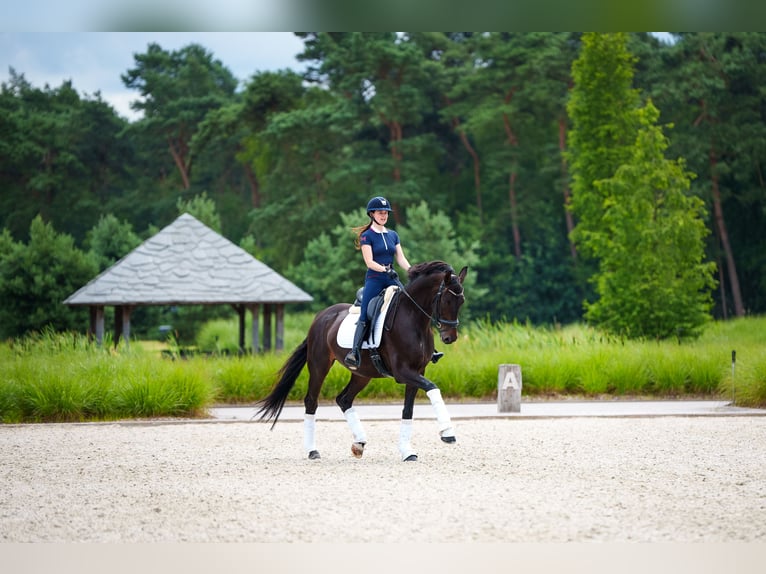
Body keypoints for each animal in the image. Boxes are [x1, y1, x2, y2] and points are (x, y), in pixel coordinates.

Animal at [256, 260, 468, 464]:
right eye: (447, 300)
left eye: (462, 301)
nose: (450, 338)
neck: (413, 319)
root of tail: (321, 317)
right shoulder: (403, 373)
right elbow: (433, 388)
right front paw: (448, 433)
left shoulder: (418, 371)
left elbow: (408, 410)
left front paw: (407, 452)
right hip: (319, 365)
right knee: (311, 402)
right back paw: (312, 450)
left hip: (362, 373)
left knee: (344, 399)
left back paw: (359, 443)